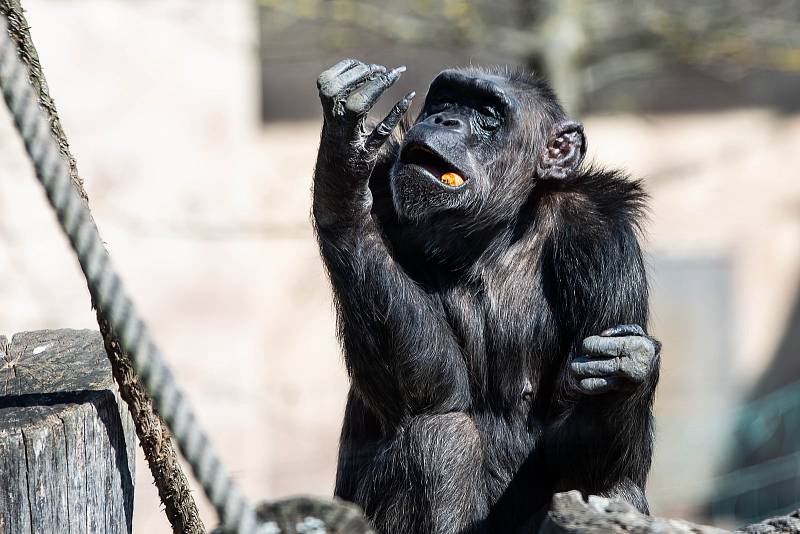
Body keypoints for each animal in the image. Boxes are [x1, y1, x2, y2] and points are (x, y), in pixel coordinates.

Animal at [312, 58, 664, 534]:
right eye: (445, 101)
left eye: (487, 115)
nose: (445, 120)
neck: (493, 236)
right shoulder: (386, 196)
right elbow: (433, 389)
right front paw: (343, 167)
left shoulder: (606, 240)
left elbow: (594, 447)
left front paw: (627, 367)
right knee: (439, 436)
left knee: (614, 484)